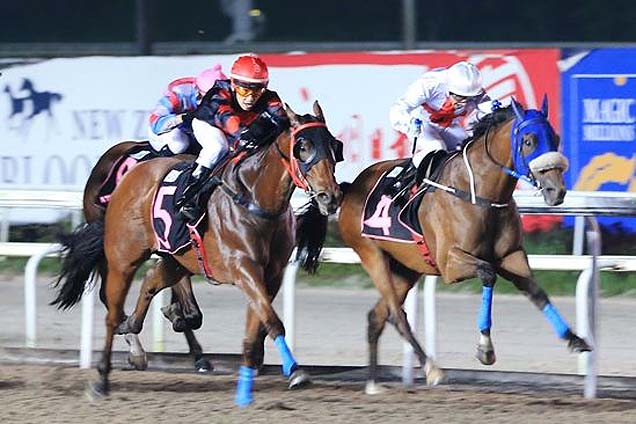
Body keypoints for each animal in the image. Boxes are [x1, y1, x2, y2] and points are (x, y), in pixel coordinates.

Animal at [52, 101, 342, 406]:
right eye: (302, 146)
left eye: (333, 145)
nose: (330, 196)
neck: (254, 198)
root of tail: (131, 174)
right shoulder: (243, 267)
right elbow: (271, 320)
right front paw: (295, 371)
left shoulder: (270, 275)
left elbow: (257, 326)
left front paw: (248, 385)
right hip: (124, 258)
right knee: (111, 310)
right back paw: (104, 376)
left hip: (175, 257)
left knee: (151, 280)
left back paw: (133, 327)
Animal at [338, 97, 592, 392]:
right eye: (529, 141)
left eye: (556, 138)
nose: (556, 190)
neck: (481, 194)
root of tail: (350, 187)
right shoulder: (450, 263)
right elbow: (488, 274)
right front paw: (485, 349)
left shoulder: (512, 256)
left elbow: (537, 292)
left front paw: (575, 339)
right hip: (372, 255)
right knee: (397, 315)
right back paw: (432, 369)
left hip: (405, 268)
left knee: (378, 316)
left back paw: (373, 384)